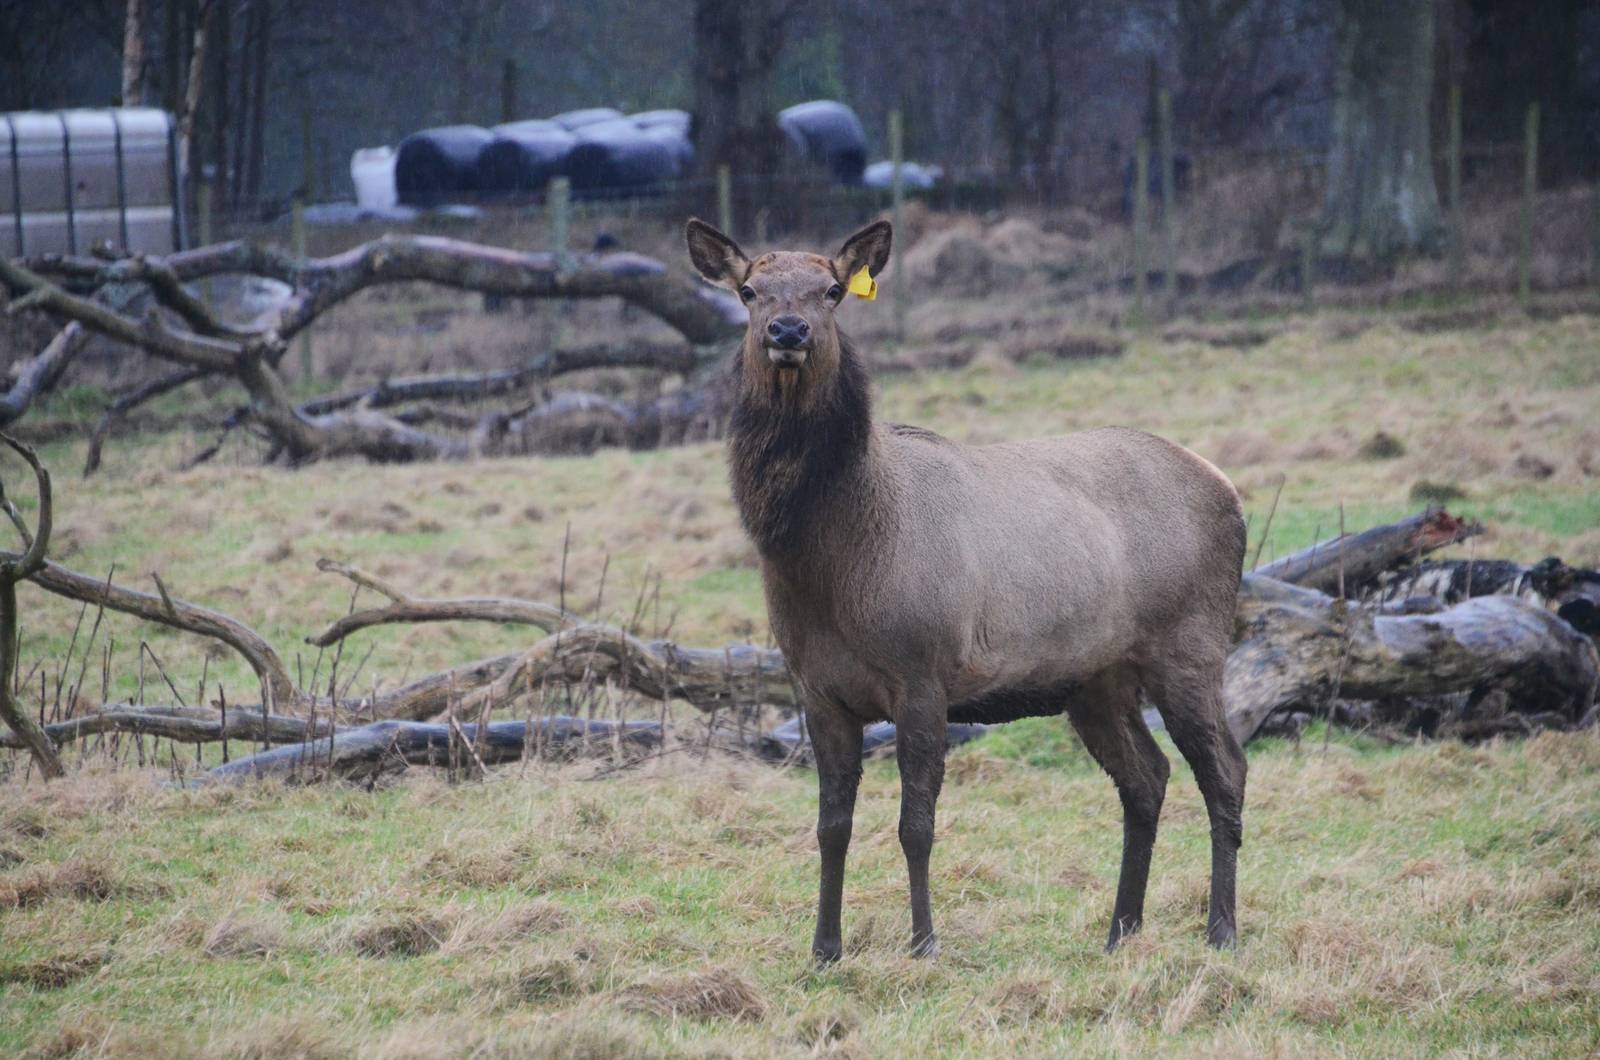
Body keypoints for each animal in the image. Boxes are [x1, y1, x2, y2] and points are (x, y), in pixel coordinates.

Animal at [685, 217, 1248, 964]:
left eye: (833, 290)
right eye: (748, 290)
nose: (787, 330)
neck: (833, 562)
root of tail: (1229, 490)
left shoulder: (924, 674)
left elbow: (915, 824)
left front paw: (924, 943)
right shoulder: (816, 689)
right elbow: (832, 827)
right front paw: (824, 949)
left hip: (1191, 644)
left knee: (1226, 769)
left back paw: (1221, 931)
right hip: (1096, 679)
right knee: (1147, 778)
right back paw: (1120, 931)